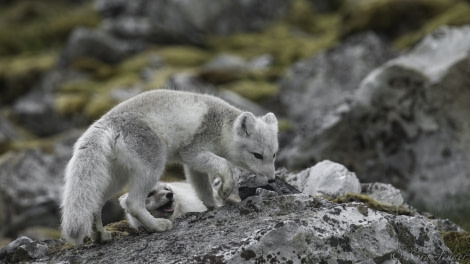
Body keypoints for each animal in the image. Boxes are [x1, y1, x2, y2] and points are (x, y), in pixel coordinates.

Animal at [60, 89, 278, 245]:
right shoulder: (192, 152)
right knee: (132, 203)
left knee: (95, 204)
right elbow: (226, 165)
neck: (222, 126)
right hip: (153, 166)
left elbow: (203, 189)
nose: (272, 179)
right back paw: (157, 226)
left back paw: (100, 236)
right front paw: (226, 189)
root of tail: (104, 123)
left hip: (115, 178)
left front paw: (214, 206)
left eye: (274, 154)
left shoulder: (192, 165)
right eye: (257, 155)